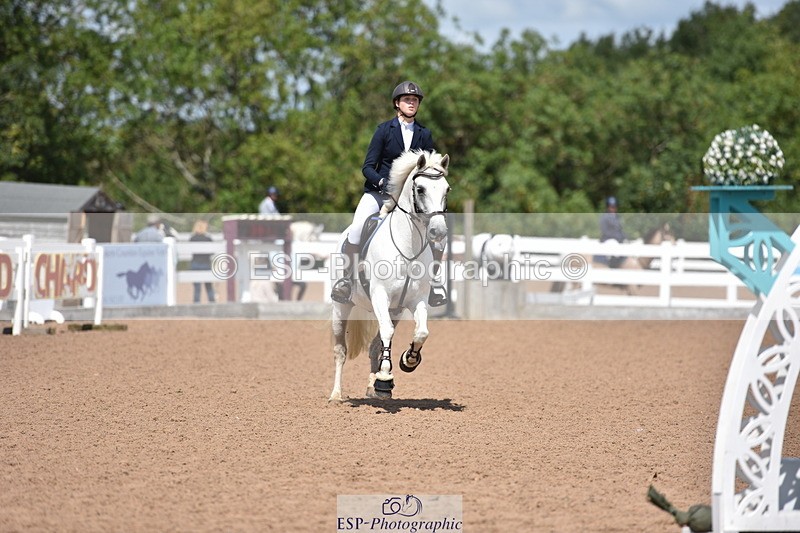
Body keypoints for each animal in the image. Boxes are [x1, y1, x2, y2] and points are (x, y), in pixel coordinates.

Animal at [328, 150, 451, 402]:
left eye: (447, 189)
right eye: (420, 189)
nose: (438, 232)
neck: (408, 246)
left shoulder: (416, 301)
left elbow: (421, 332)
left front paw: (409, 360)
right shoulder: (380, 296)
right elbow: (387, 332)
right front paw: (385, 377)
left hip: (395, 311)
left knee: (375, 345)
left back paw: (372, 388)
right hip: (341, 307)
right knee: (340, 350)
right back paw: (336, 394)